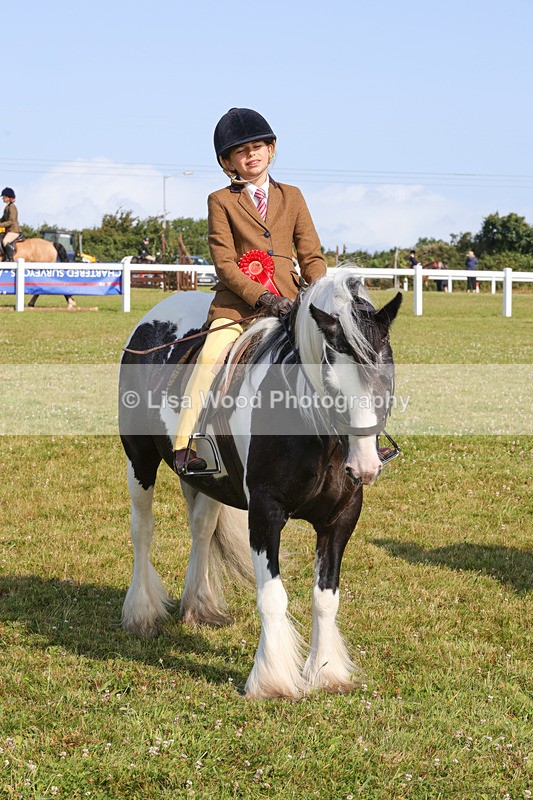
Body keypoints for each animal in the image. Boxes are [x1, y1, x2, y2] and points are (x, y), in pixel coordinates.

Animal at [119, 270, 402, 699]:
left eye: (385, 374)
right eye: (331, 381)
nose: (366, 467)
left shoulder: (340, 519)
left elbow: (326, 598)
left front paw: (326, 672)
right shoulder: (265, 514)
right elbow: (272, 597)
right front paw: (271, 679)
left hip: (209, 482)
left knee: (201, 531)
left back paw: (200, 606)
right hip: (140, 462)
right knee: (142, 531)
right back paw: (141, 613)